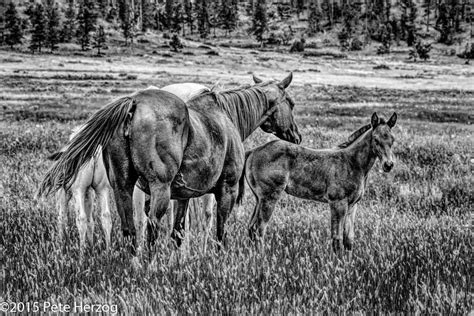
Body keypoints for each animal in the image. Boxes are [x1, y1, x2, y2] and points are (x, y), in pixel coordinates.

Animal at [239, 112, 398, 256]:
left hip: (259, 198)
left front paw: (348, 263)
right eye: (376, 139)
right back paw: (261, 259)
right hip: (269, 197)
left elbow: (349, 239)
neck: (352, 163)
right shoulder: (338, 203)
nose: (388, 165)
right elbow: (337, 238)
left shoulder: (352, 206)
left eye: (392, 139)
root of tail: (254, 151)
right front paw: (338, 264)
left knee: (251, 227)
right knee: (259, 228)